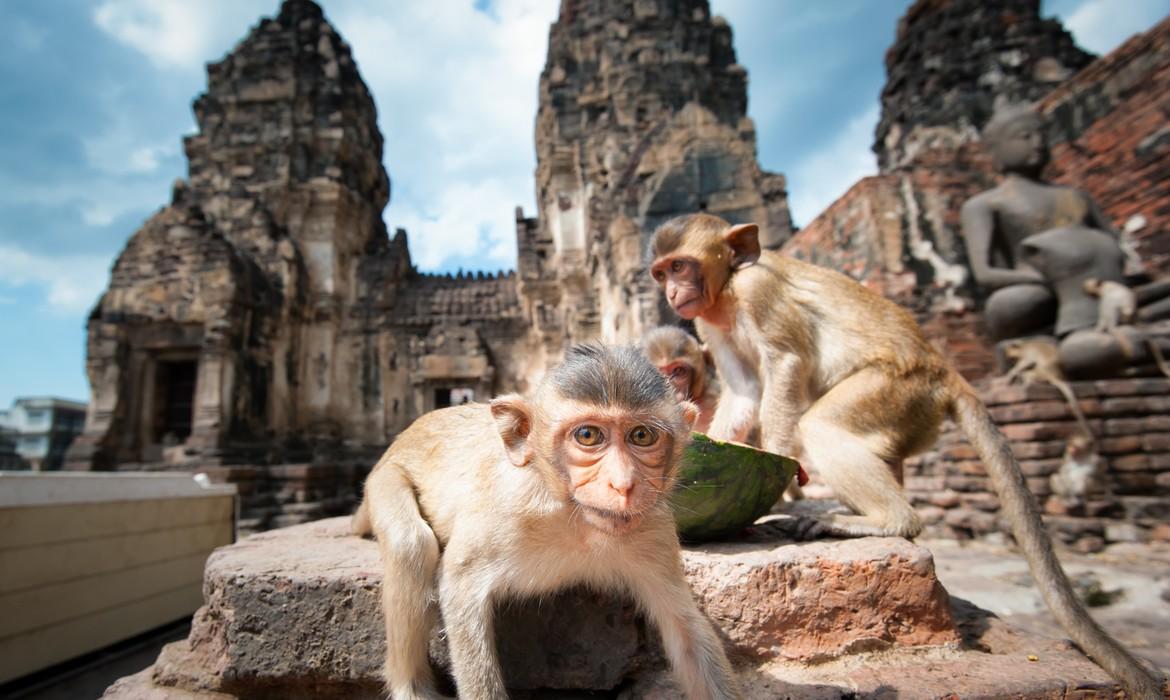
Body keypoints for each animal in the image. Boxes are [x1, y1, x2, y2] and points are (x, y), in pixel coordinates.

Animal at [348, 346, 739, 700]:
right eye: (588, 435)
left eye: (642, 435)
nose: (624, 484)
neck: (575, 518)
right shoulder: (503, 511)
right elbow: (459, 585)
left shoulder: (653, 527)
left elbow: (686, 631)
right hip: (382, 480)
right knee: (410, 542)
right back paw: (412, 688)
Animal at [645, 210, 1165, 697]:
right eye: (661, 272)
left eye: (681, 266)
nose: (672, 292)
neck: (728, 289)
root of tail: (944, 371)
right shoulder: (707, 320)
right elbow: (745, 389)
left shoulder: (757, 291)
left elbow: (785, 363)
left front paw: (775, 462)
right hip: (909, 411)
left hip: (899, 388)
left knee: (821, 426)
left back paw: (885, 520)